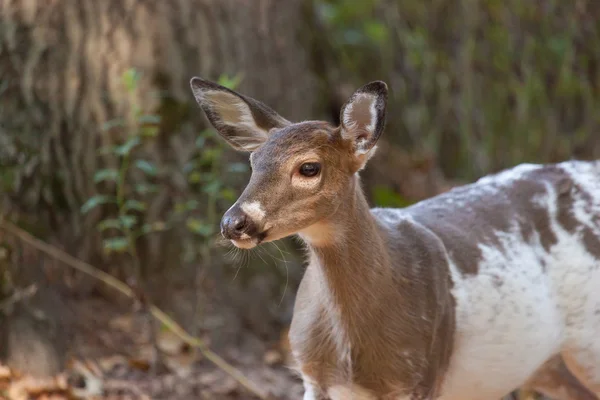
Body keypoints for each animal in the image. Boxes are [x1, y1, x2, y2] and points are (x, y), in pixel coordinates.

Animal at [191, 76, 600, 400]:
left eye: (309, 167)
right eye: (253, 163)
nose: (234, 222)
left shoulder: (420, 374)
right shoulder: (312, 374)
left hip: (589, 341)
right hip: (549, 364)